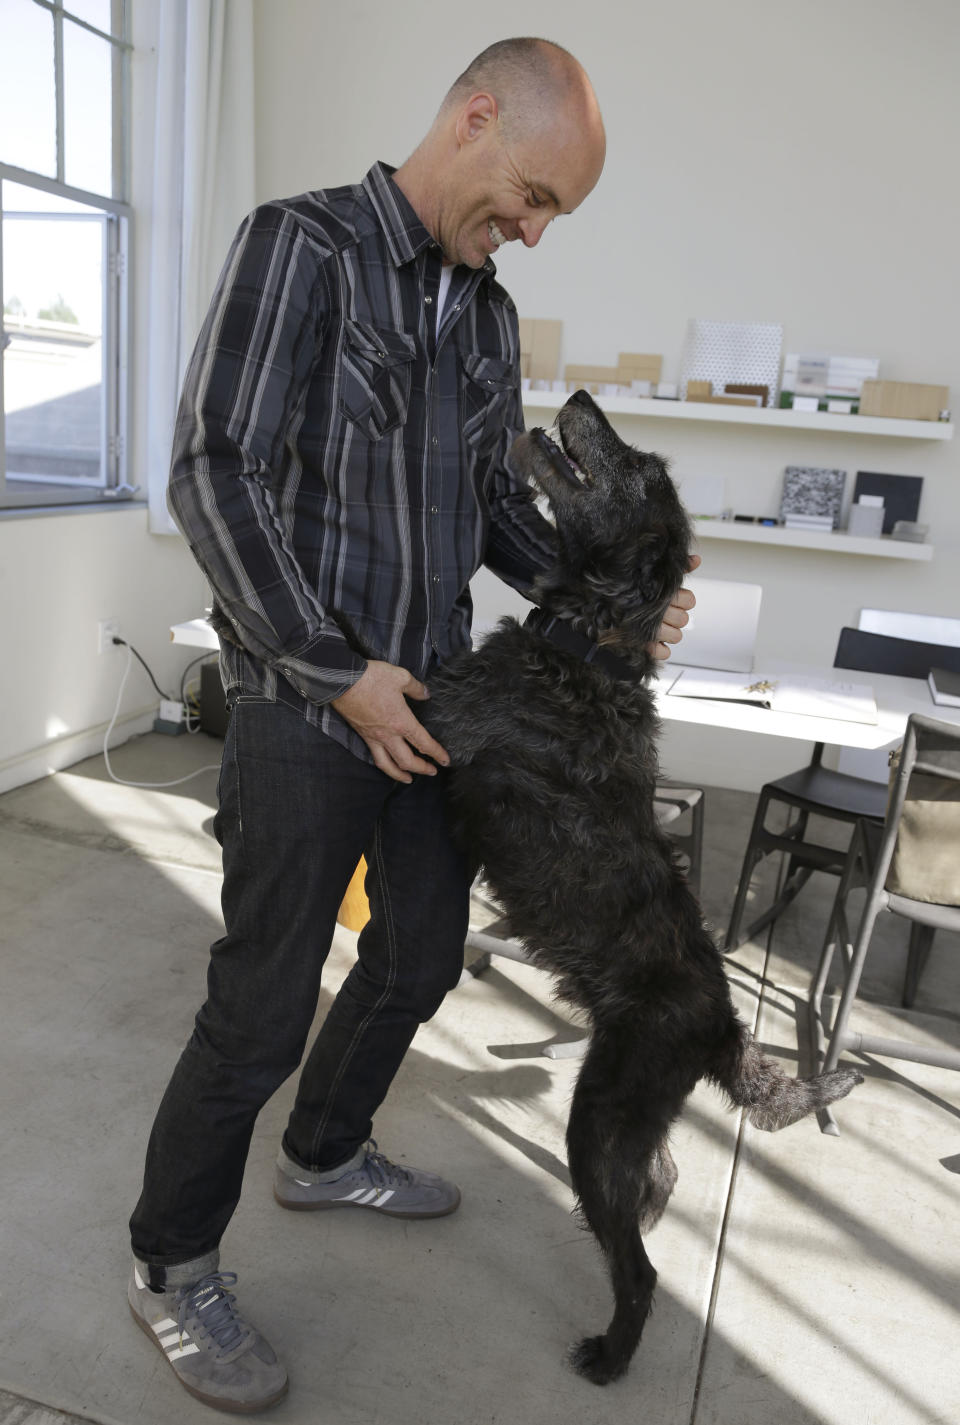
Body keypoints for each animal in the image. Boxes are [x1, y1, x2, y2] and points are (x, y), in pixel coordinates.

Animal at [427, 390, 860, 1379]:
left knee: (642, 1268)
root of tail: (725, 1025)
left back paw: (613, 1350)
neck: (587, 643)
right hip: (626, 1115)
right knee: (656, 1179)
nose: (585, 399)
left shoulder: (433, 715)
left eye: (638, 467)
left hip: (604, 1109)